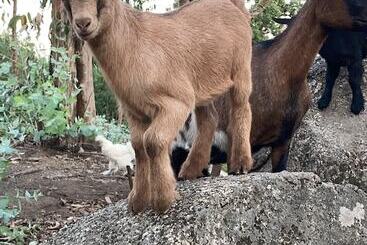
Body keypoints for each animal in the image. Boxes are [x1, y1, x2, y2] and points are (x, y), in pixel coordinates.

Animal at [63, 0, 253, 213]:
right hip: (203, 84)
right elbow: (138, 146)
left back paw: (241, 164)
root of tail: (233, 6)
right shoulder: (133, 111)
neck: (133, 44)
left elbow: (153, 140)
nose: (83, 23)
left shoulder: (176, 102)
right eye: (66, 3)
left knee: (242, 107)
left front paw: (163, 199)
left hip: (241, 67)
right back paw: (191, 169)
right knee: (209, 118)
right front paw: (138, 200)